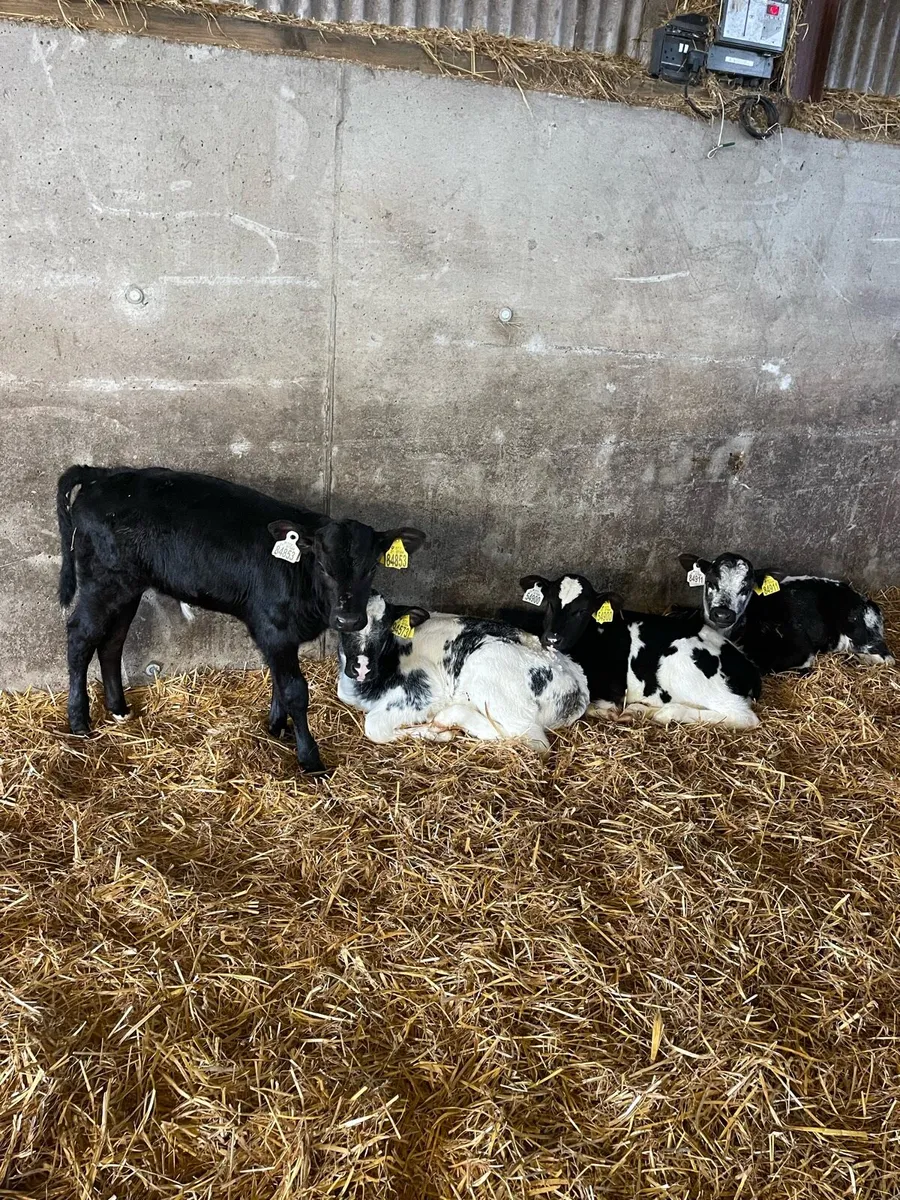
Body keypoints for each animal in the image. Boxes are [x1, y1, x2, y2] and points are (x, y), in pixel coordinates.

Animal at [56, 465, 426, 772]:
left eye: (373, 566)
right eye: (321, 565)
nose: (348, 620)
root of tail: (102, 474)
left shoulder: (282, 637)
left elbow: (279, 682)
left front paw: (276, 727)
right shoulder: (273, 628)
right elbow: (294, 690)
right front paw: (310, 758)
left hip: (127, 586)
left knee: (112, 641)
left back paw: (119, 708)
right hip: (103, 581)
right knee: (80, 636)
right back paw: (79, 721)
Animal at [336, 593, 589, 755]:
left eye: (386, 627)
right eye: (342, 625)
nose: (362, 667)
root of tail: (578, 684)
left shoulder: (422, 691)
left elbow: (374, 727)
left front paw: (434, 733)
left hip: (489, 670)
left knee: (530, 739)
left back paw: (445, 720)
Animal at [511, 574, 762, 729]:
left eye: (582, 611)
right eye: (549, 603)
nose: (552, 638)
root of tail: (749, 666)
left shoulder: (612, 692)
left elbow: (591, 707)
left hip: (682, 666)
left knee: (743, 716)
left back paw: (668, 713)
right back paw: (641, 710)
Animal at [677, 553, 894, 675]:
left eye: (746, 587)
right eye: (710, 581)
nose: (723, 614)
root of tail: (862, 597)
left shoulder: (798, 648)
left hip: (863, 635)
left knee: (886, 657)